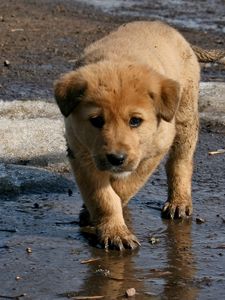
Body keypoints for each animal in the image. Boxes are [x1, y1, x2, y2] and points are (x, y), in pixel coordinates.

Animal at [55, 21, 200, 250]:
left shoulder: (153, 151)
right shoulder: (81, 152)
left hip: (185, 116)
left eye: (135, 121)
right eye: (97, 120)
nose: (116, 158)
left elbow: (125, 187)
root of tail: (159, 23)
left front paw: (100, 218)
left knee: (180, 161)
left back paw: (179, 201)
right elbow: (103, 196)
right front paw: (114, 232)